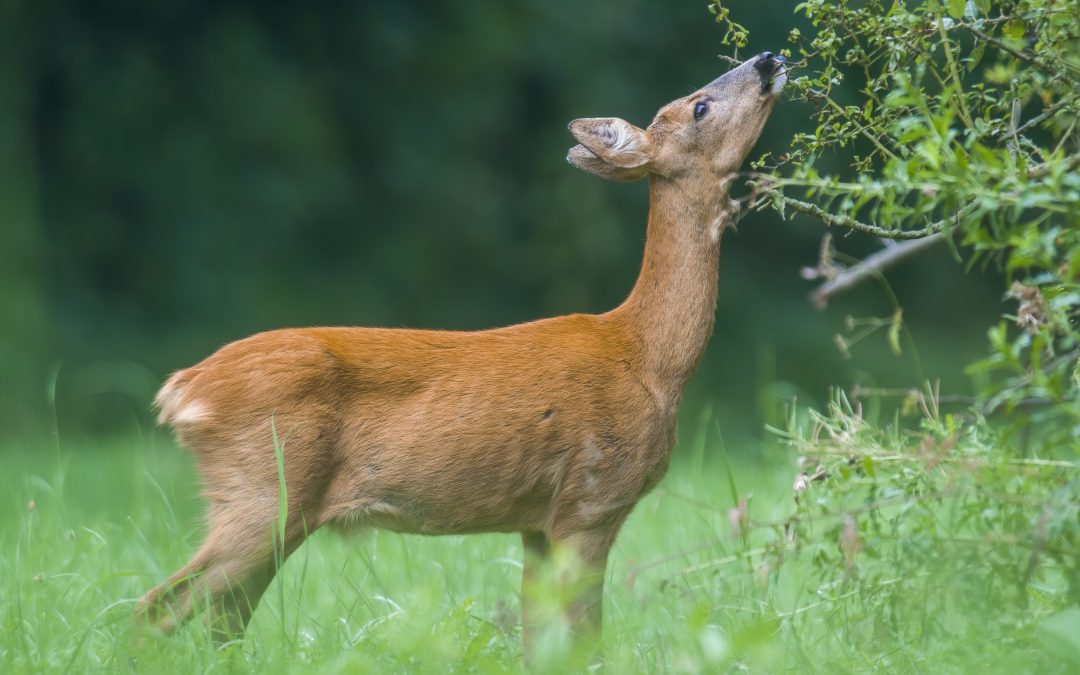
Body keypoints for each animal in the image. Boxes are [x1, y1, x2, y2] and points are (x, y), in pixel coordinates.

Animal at [139, 52, 790, 652]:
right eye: (699, 107)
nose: (768, 59)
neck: (650, 358)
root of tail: (182, 389)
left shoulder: (537, 522)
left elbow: (536, 639)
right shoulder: (591, 501)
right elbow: (585, 637)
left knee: (219, 624)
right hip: (261, 491)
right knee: (156, 608)